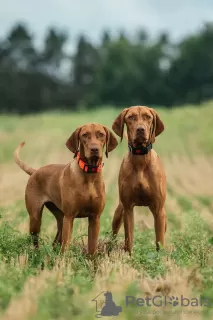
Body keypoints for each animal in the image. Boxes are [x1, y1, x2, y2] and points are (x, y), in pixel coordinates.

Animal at [110, 106, 167, 254]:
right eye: (131, 117)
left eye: (148, 117)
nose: (140, 129)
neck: (141, 159)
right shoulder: (128, 208)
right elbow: (128, 240)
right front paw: (129, 257)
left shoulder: (158, 210)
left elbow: (159, 241)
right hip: (119, 213)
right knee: (113, 233)